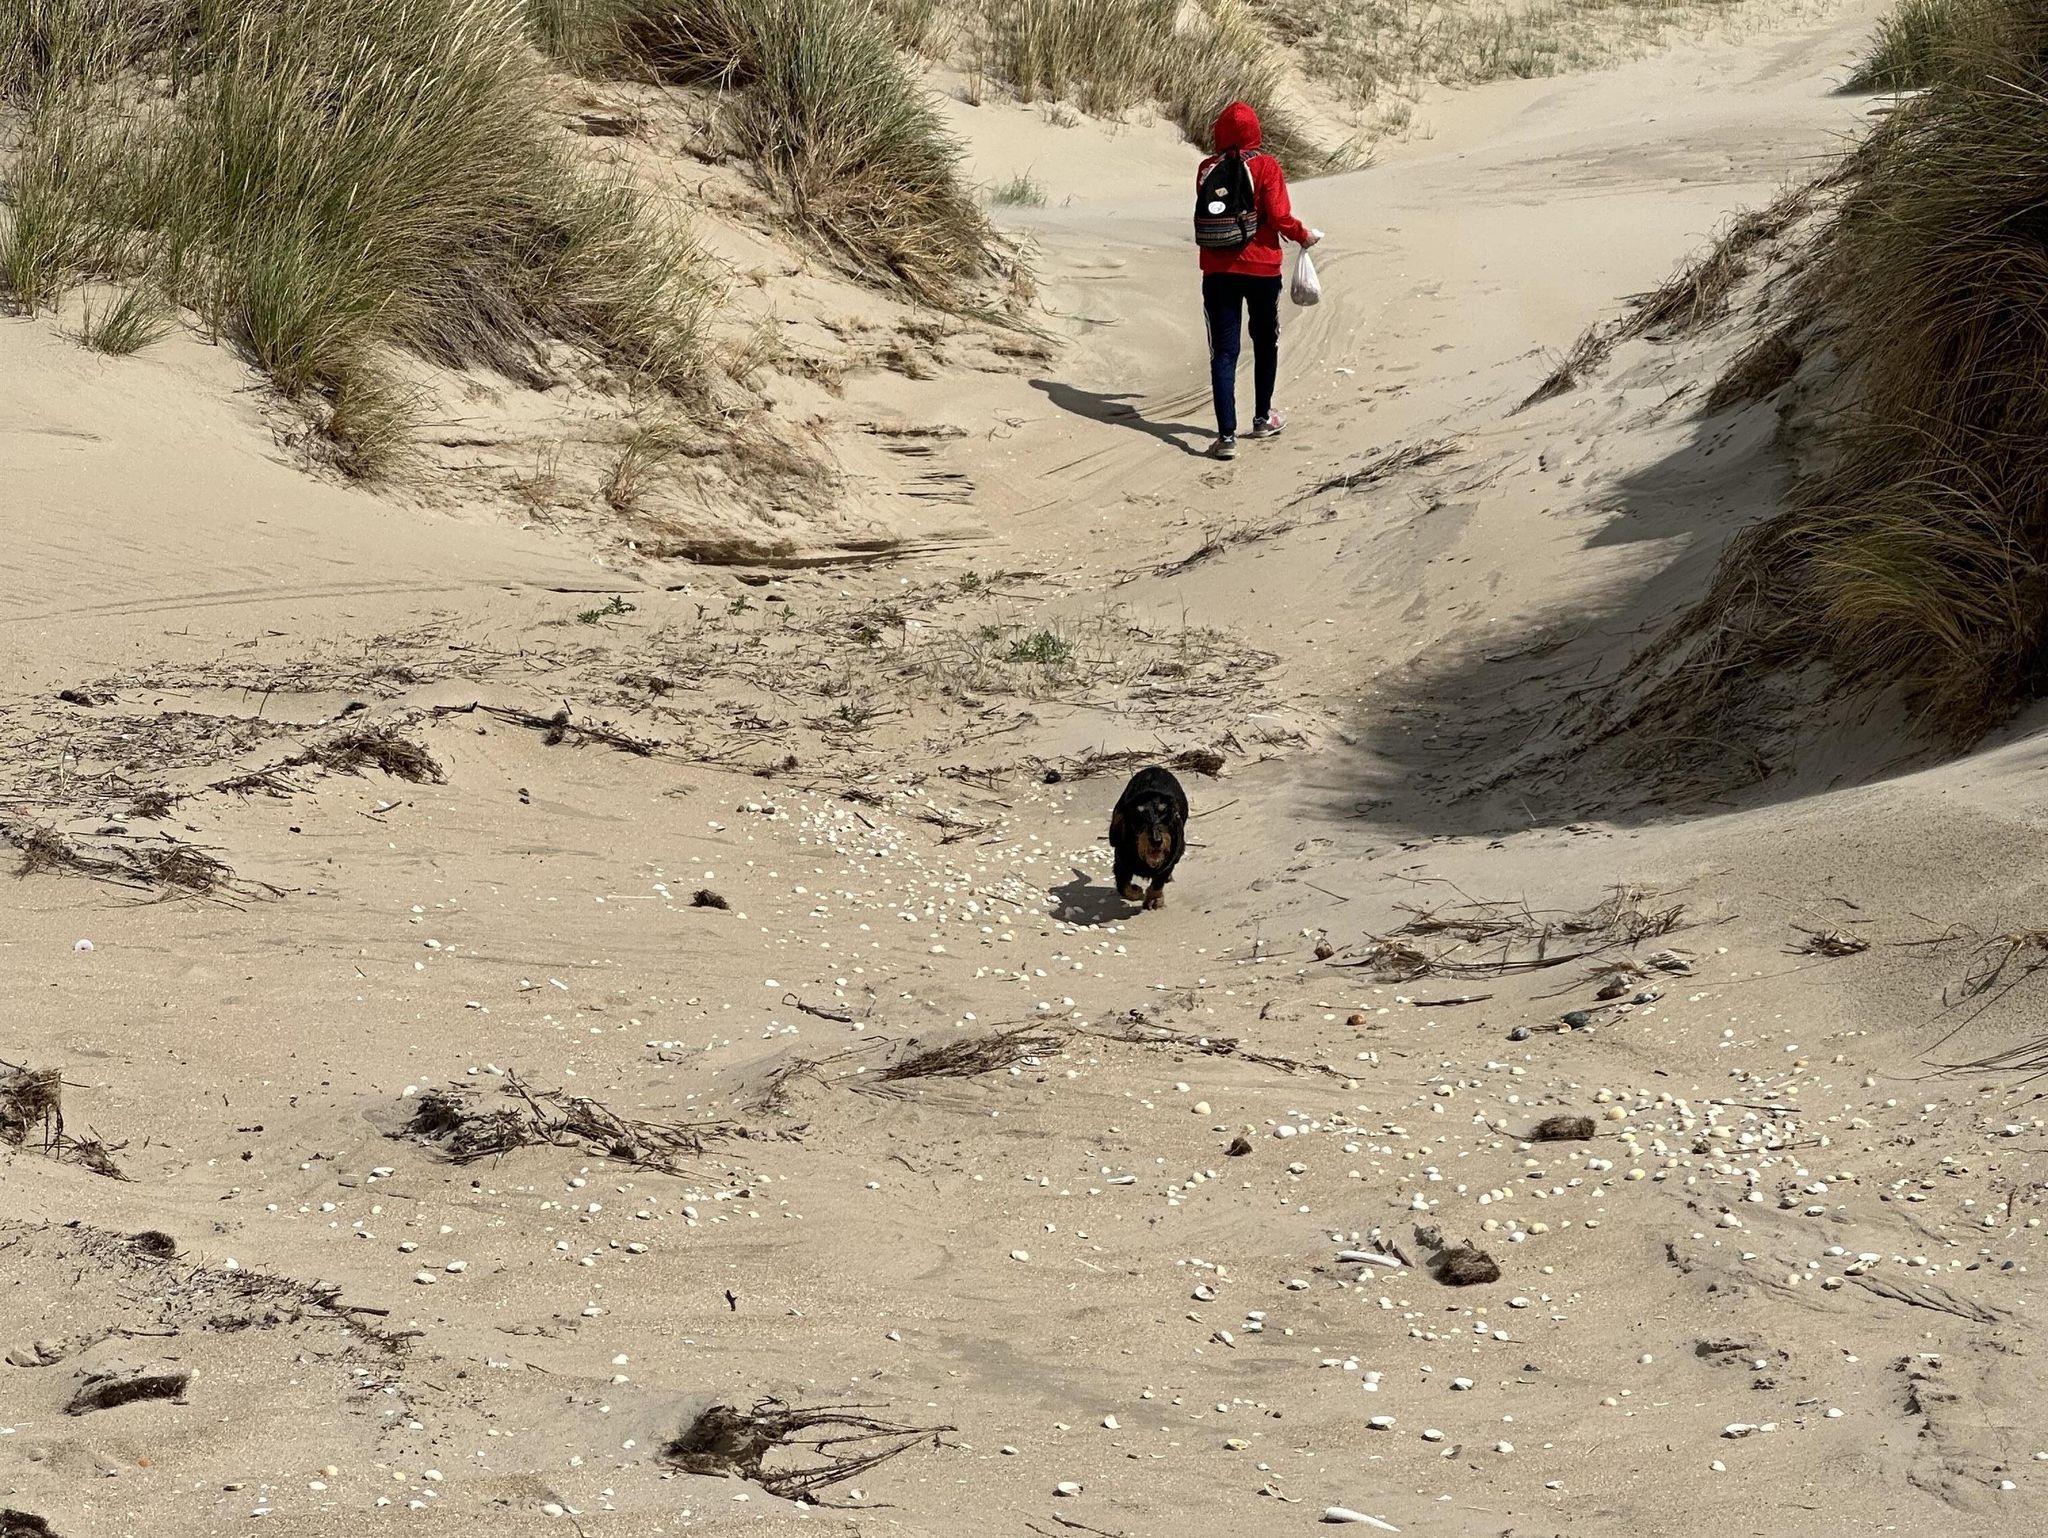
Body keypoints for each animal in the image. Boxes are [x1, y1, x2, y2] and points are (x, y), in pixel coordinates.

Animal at [1110, 766, 1188, 911]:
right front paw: (1136, 892)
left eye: (1164, 812)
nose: (1157, 841)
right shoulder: (1121, 861)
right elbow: (1123, 886)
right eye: (1138, 816)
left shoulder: (1169, 863)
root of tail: (1155, 767)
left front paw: (1154, 899)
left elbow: (1158, 882)